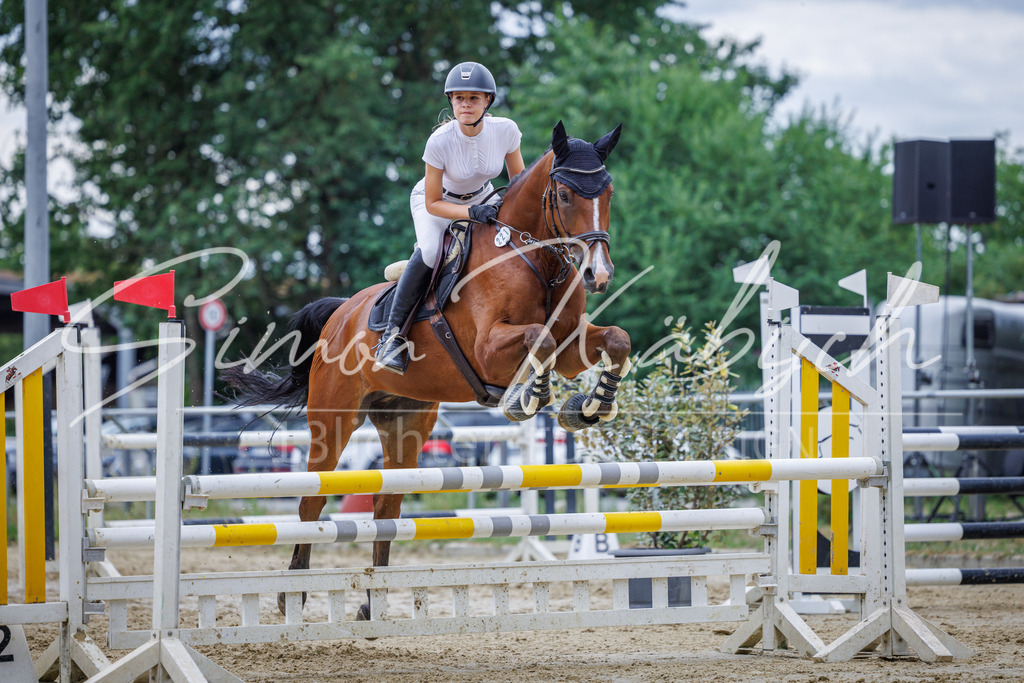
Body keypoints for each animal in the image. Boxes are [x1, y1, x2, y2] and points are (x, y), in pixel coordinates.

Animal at [223, 121, 631, 617]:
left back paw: (372, 603)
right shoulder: (488, 347)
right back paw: (293, 596)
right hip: (332, 419)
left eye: (608, 192)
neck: (534, 258)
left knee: (386, 507)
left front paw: (592, 405)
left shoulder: (574, 347)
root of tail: (341, 313)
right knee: (310, 504)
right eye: (567, 195)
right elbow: (541, 338)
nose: (598, 275)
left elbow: (614, 339)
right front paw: (528, 397)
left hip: (406, 425)